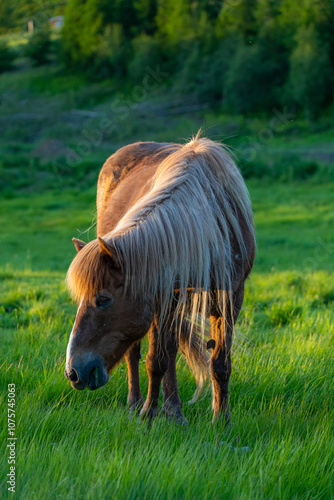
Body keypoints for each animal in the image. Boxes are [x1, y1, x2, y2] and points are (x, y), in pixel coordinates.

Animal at [64, 135, 254, 424]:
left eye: (103, 299)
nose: (73, 372)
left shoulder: (231, 296)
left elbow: (220, 363)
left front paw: (221, 420)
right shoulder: (163, 295)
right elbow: (156, 360)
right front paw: (148, 415)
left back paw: (173, 411)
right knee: (137, 353)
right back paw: (139, 404)